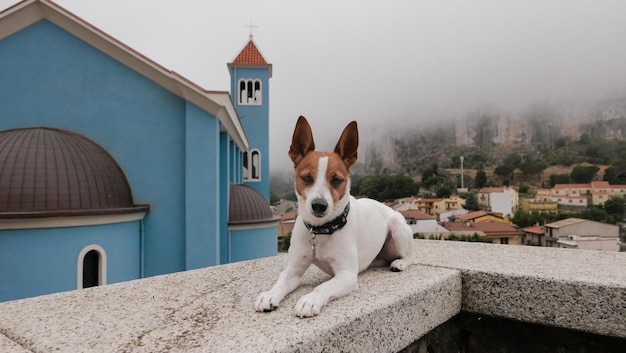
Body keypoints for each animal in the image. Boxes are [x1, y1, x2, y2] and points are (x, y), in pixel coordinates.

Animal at [255, 115, 414, 316]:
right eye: (306, 177)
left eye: (337, 180)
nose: (319, 205)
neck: (322, 230)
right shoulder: (293, 270)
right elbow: (281, 281)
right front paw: (270, 295)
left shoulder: (347, 275)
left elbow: (323, 287)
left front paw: (310, 299)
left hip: (397, 227)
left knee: (409, 256)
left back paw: (400, 263)